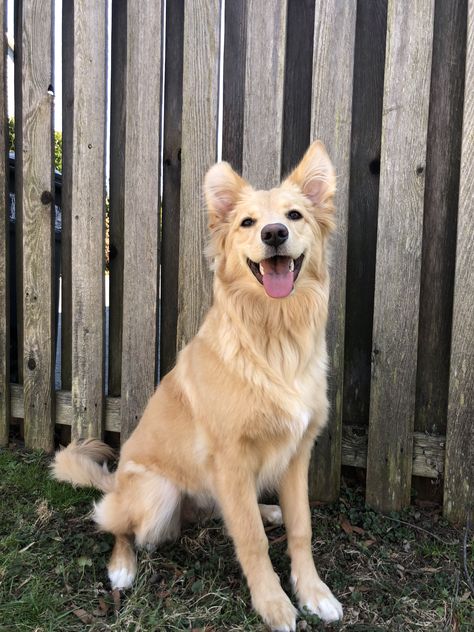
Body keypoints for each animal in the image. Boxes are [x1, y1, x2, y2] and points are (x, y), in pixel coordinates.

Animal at [51, 141, 342, 628]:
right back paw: (122, 566)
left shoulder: (297, 454)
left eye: (295, 214)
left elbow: (302, 528)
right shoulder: (231, 458)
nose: (275, 233)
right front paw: (273, 603)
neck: (274, 337)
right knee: (119, 527)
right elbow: (252, 541)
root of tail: (116, 485)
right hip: (156, 492)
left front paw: (313, 592)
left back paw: (267, 509)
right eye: (247, 222)